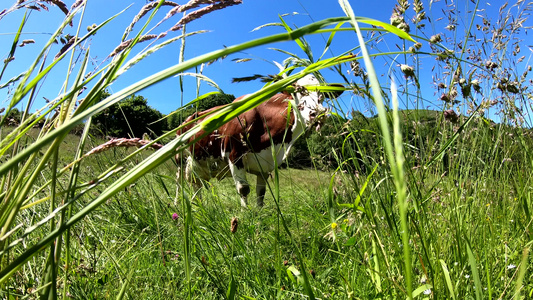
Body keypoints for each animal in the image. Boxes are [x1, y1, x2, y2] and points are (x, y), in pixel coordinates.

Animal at [174, 74, 340, 207]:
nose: (317, 113)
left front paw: (259, 213)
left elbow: (261, 192)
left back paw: (198, 205)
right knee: (179, 182)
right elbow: (243, 189)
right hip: (180, 160)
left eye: (322, 95)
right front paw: (246, 213)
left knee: (197, 184)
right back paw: (177, 205)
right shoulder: (235, 155)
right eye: (298, 92)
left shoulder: (265, 164)